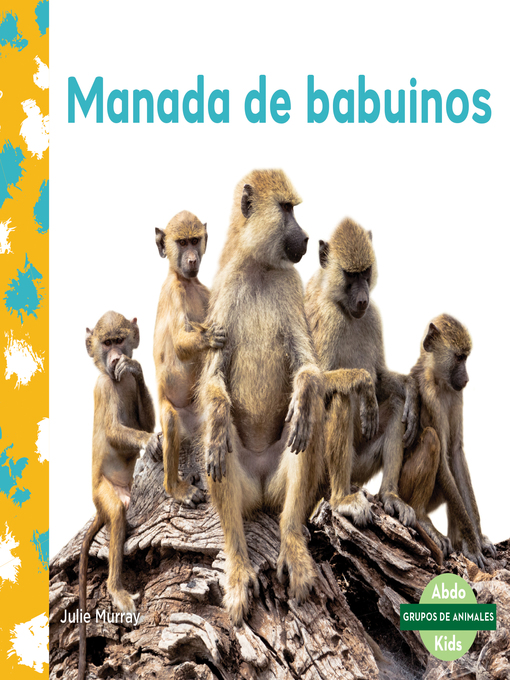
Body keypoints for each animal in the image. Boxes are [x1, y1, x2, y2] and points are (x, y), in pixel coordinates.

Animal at [199, 169, 325, 626]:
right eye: (287, 209)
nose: (305, 237)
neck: (258, 268)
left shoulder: (292, 286)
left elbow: (308, 368)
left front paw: (303, 395)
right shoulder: (220, 290)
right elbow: (212, 381)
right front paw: (219, 416)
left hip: (279, 479)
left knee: (307, 429)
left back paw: (293, 548)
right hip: (242, 483)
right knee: (217, 451)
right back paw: (238, 567)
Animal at [305, 217, 419, 528]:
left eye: (365, 273)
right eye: (350, 275)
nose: (362, 300)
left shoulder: (372, 317)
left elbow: (382, 381)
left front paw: (412, 393)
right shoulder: (328, 320)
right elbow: (316, 382)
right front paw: (364, 384)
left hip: (361, 466)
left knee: (395, 405)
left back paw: (391, 496)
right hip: (320, 467)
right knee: (340, 398)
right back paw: (342, 499)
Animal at [398, 314, 496, 568]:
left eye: (466, 357)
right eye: (459, 357)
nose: (467, 379)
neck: (437, 378)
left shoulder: (456, 393)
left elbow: (456, 454)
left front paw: (477, 539)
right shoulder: (429, 394)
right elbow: (443, 456)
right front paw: (473, 545)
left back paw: (457, 539)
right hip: (403, 486)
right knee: (432, 439)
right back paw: (422, 517)